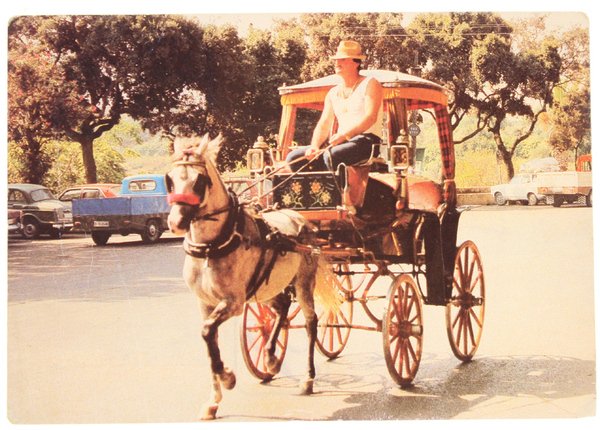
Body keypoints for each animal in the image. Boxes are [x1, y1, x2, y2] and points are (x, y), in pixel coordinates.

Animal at [166, 134, 338, 420]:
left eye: (199, 180)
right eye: (169, 179)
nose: (175, 222)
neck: (211, 247)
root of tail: (299, 217)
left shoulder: (233, 302)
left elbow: (207, 332)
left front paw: (227, 377)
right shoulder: (206, 304)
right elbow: (209, 340)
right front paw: (213, 400)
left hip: (303, 282)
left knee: (311, 322)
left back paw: (308, 378)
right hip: (265, 289)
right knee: (281, 309)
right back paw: (270, 357)